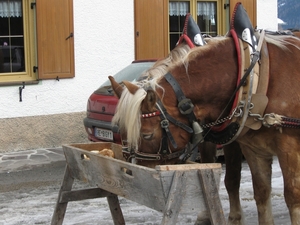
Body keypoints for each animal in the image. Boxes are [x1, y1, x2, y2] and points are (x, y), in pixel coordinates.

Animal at [110, 3, 300, 223]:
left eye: (147, 135)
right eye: (121, 131)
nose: (141, 181)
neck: (253, 77)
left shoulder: (287, 148)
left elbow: (291, 196)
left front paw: (233, 217)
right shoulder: (248, 147)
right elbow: (258, 191)